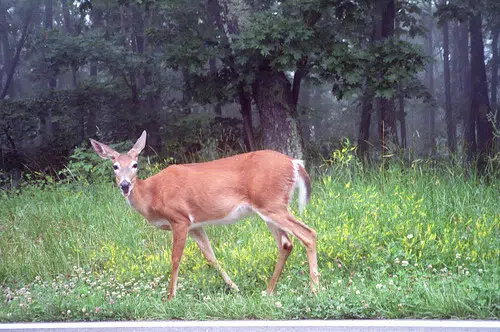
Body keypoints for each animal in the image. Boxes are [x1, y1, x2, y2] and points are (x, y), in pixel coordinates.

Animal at [90, 131, 320, 300]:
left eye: (135, 165)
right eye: (115, 166)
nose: (125, 185)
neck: (151, 195)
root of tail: (295, 163)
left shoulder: (179, 219)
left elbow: (175, 258)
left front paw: (170, 297)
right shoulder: (195, 225)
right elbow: (211, 257)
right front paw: (235, 288)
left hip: (272, 204)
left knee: (308, 233)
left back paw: (314, 289)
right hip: (268, 208)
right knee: (286, 244)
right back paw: (269, 291)